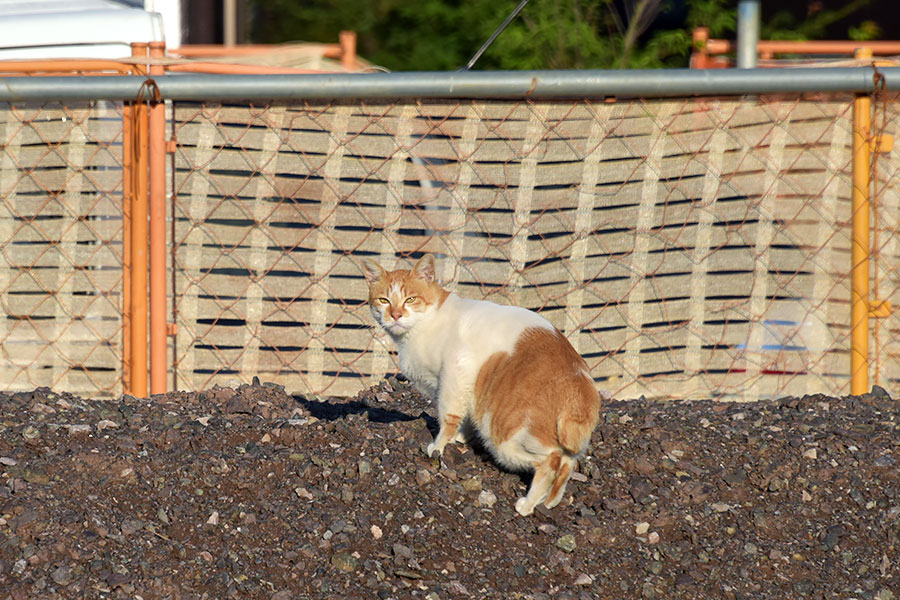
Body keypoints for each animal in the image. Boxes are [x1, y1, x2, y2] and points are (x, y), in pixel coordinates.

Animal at [362, 253, 600, 516]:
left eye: (410, 299)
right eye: (384, 300)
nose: (395, 315)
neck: (425, 324)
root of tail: (577, 378)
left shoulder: (455, 374)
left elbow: (449, 418)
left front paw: (438, 446)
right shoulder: (464, 387)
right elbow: (464, 415)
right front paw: (461, 437)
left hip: (504, 435)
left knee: (550, 461)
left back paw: (527, 505)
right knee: (568, 464)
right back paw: (549, 502)